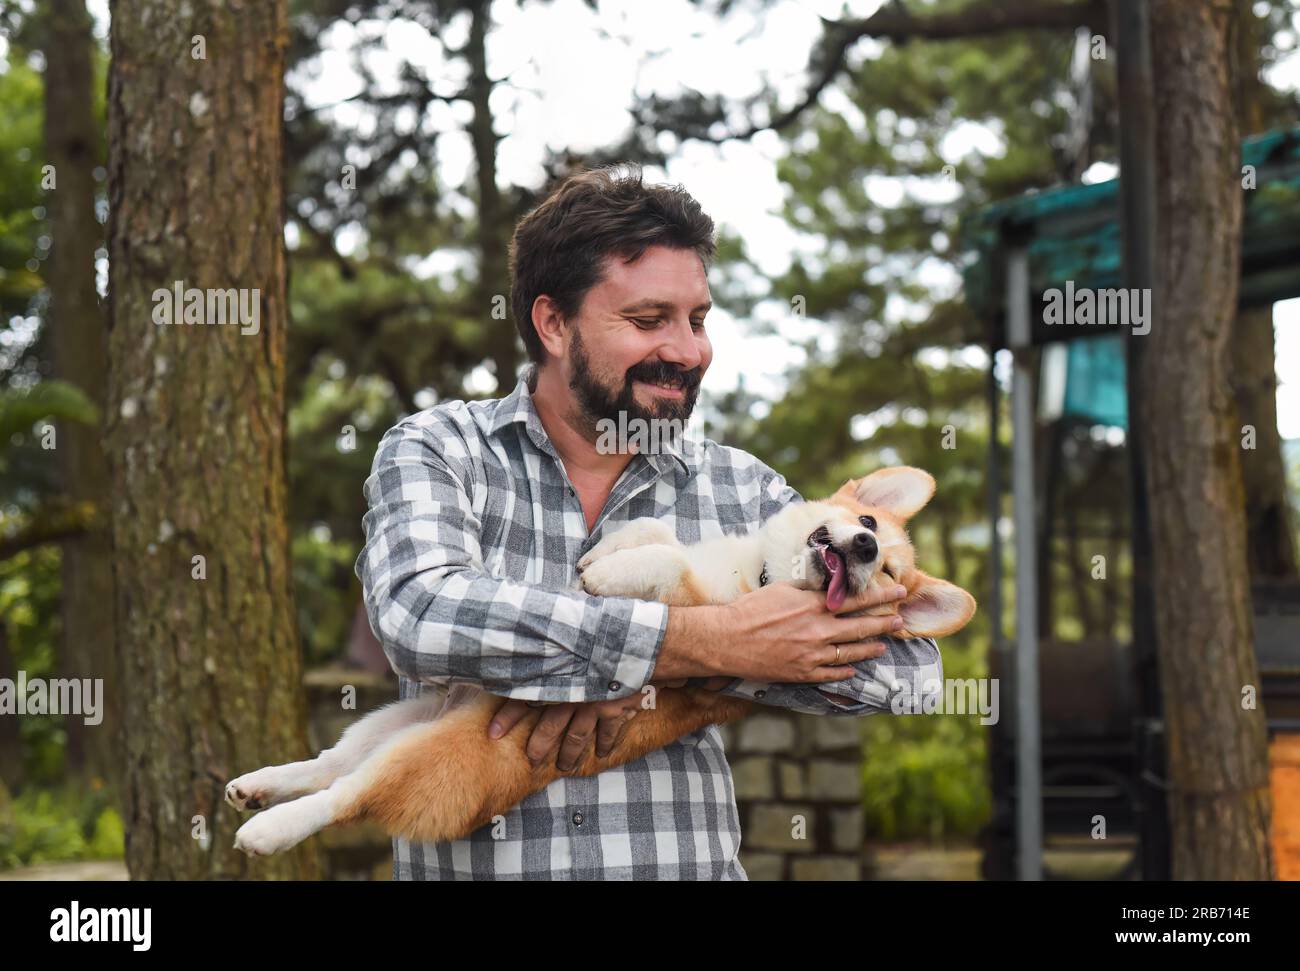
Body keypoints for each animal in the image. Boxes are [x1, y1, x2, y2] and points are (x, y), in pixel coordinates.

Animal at [226, 467, 977, 852]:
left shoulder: (698, 601)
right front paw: (603, 551)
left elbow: (665, 562)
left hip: (419, 754)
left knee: (347, 794)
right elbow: (656, 529)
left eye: (885, 576)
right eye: (872, 526)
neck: (760, 572)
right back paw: (257, 783)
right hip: (390, 721)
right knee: (327, 763)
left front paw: (608, 573)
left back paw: (268, 826)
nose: (864, 550)